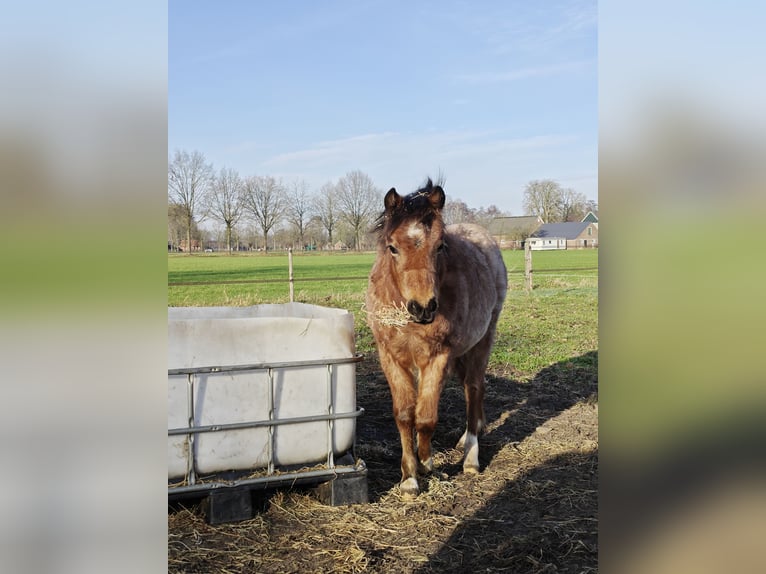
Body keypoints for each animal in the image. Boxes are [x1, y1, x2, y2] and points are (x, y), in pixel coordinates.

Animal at [365, 178, 507, 496]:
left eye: (440, 246)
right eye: (392, 247)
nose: (423, 307)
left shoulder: (437, 358)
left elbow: (426, 417)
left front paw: (427, 464)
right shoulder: (391, 357)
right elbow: (405, 415)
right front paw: (409, 477)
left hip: (483, 339)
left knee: (474, 387)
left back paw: (471, 455)